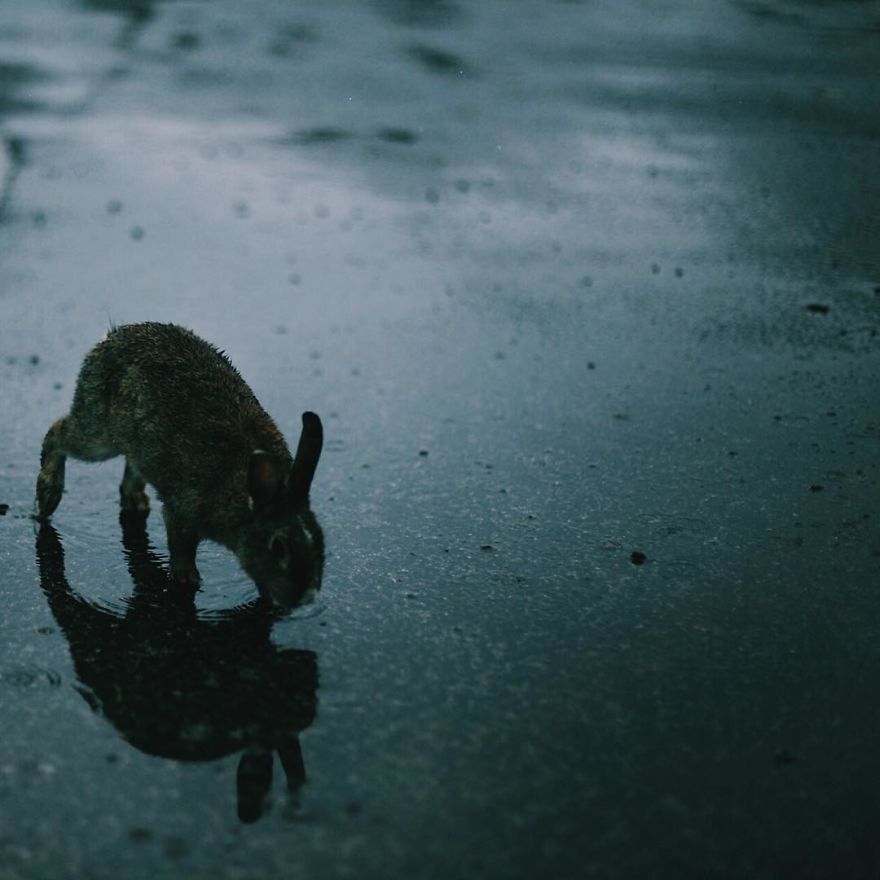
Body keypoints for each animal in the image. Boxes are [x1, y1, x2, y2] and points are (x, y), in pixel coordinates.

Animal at [35, 322, 324, 609]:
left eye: (320, 541)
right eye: (278, 547)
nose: (306, 597)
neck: (244, 497)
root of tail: (111, 337)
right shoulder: (183, 510)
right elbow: (181, 546)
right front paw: (186, 578)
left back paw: (135, 500)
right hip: (100, 435)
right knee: (57, 433)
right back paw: (47, 495)